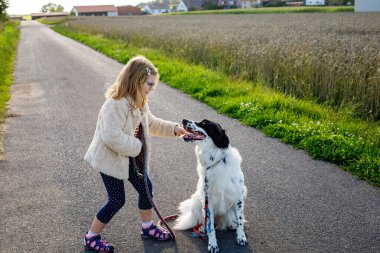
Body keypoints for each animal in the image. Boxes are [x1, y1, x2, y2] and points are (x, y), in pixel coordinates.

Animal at [174, 119, 248, 253]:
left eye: (204, 123)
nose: (184, 120)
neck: (217, 161)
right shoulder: (208, 201)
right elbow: (210, 226)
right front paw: (212, 244)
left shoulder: (238, 197)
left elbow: (240, 220)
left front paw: (241, 237)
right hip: (197, 201)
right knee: (203, 220)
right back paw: (202, 230)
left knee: (229, 216)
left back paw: (231, 224)